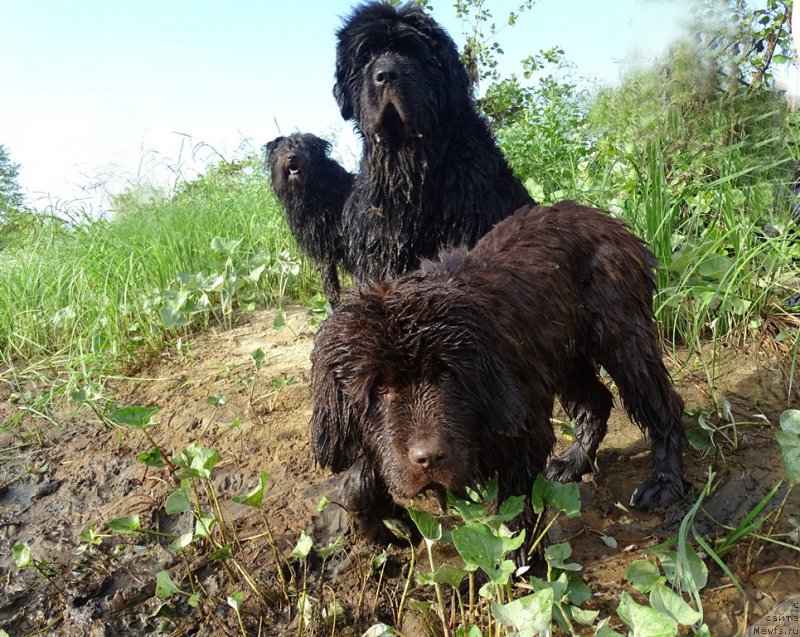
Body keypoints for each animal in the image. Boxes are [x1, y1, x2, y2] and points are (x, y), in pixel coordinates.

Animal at [266, 133, 354, 306]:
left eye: (303, 148)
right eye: (283, 150)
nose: (291, 156)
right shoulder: (321, 246)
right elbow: (327, 275)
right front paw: (333, 301)